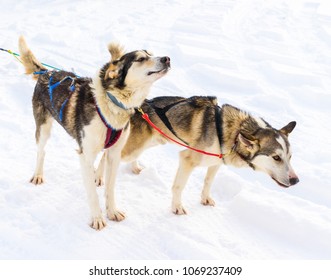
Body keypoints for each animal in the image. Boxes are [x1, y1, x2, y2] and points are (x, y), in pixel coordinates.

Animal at [18, 36, 171, 229]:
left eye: (151, 53)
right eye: (141, 58)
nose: (167, 58)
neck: (112, 104)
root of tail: (46, 73)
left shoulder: (114, 154)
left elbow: (110, 188)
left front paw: (112, 211)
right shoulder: (86, 155)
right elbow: (92, 193)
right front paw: (97, 218)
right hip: (44, 129)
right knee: (41, 151)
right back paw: (38, 175)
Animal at [96, 96, 300, 214]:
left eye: (290, 157)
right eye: (276, 157)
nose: (296, 180)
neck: (232, 133)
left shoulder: (215, 162)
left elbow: (208, 182)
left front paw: (205, 199)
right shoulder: (188, 159)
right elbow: (178, 187)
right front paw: (177, 207)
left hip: (151, 141)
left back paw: (134, 167)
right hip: (133, 148)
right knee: (107, 155)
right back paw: (98, 178)